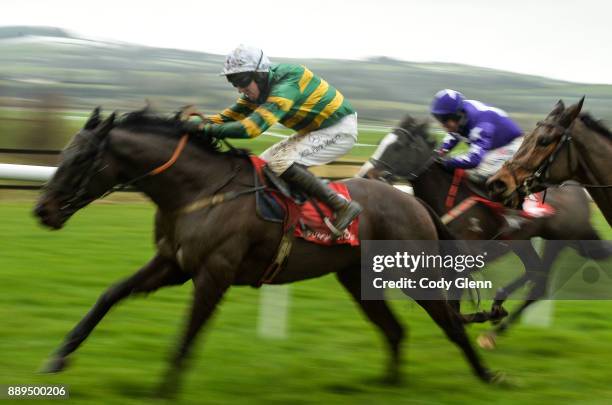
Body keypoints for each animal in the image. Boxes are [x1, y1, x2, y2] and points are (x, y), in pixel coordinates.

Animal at [34, 107, 502, 394]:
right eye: (65, 152)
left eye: (80, 160)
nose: (43, 210)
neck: (198, 191)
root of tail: (414, 201)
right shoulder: (172, 263)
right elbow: (110, 295)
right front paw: (57, 358)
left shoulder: (214, 273)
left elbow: (189, 331)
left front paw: (164, 389)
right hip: (357, 279)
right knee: (394, 330)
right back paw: (388, 384)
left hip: (415, 274)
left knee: (451, 324)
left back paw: (490, 375)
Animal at [356, 113, 608, 344]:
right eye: (381, 143)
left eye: (398, 146)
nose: (366, 175)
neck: (450, 197)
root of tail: (578, 189)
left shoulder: (469, 255)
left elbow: (454, 300)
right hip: (523, 241)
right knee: (536, 273)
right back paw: (497, 313)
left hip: (559, 239)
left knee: (539, 281)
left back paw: (495, 323)